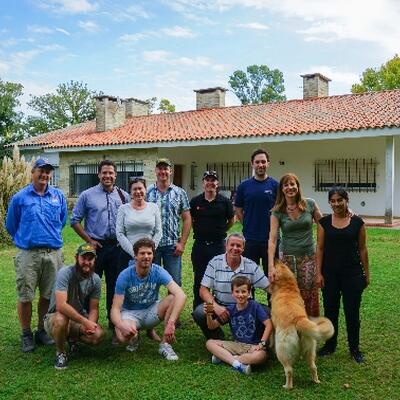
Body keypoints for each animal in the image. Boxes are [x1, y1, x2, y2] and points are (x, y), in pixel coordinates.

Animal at [268, 260, 334, 390]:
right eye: (282, 264)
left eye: (278, 266)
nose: (276, 259)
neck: (286, 288)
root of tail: (298, 319)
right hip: (310, 347)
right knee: (313, 366)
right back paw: (316, 381)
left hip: (282, 350)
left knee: (289, 370)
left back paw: (287, 386)